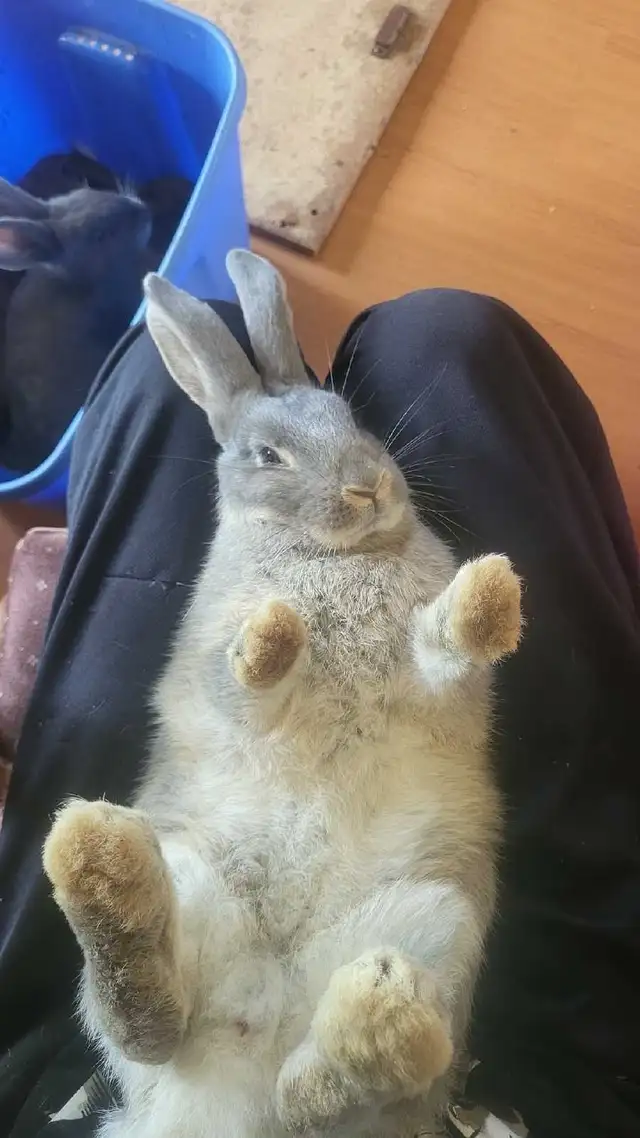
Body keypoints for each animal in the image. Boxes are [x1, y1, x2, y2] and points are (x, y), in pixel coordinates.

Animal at [43, 250, 522, 1138]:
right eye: (267, 455)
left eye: (349, 417)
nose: (370, 487)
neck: (333, 552)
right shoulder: (215, 677)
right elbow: (247, 688)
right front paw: (273, 636)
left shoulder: (433, 680)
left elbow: (440, 644)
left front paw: (489, 597)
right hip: (195, 879)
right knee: (150, 1029)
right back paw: (104, 872)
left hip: (432, 923)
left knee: (314, 1093)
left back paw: (375, 1026)